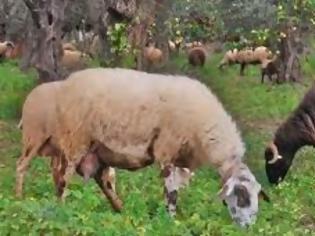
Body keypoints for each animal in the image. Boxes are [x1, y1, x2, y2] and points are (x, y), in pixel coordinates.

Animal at [55, 68, 272, 227]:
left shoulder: (183, 160)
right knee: (63, 179)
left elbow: (177, 189)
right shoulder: (168, 151)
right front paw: (171, 221)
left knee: (103, 181)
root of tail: (67, 82)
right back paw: (61, 212)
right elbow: (171, 191)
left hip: (99, 151)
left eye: (257, 196)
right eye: (242, 196)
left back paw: (120, 211)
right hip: (74, 141)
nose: (248, 227)